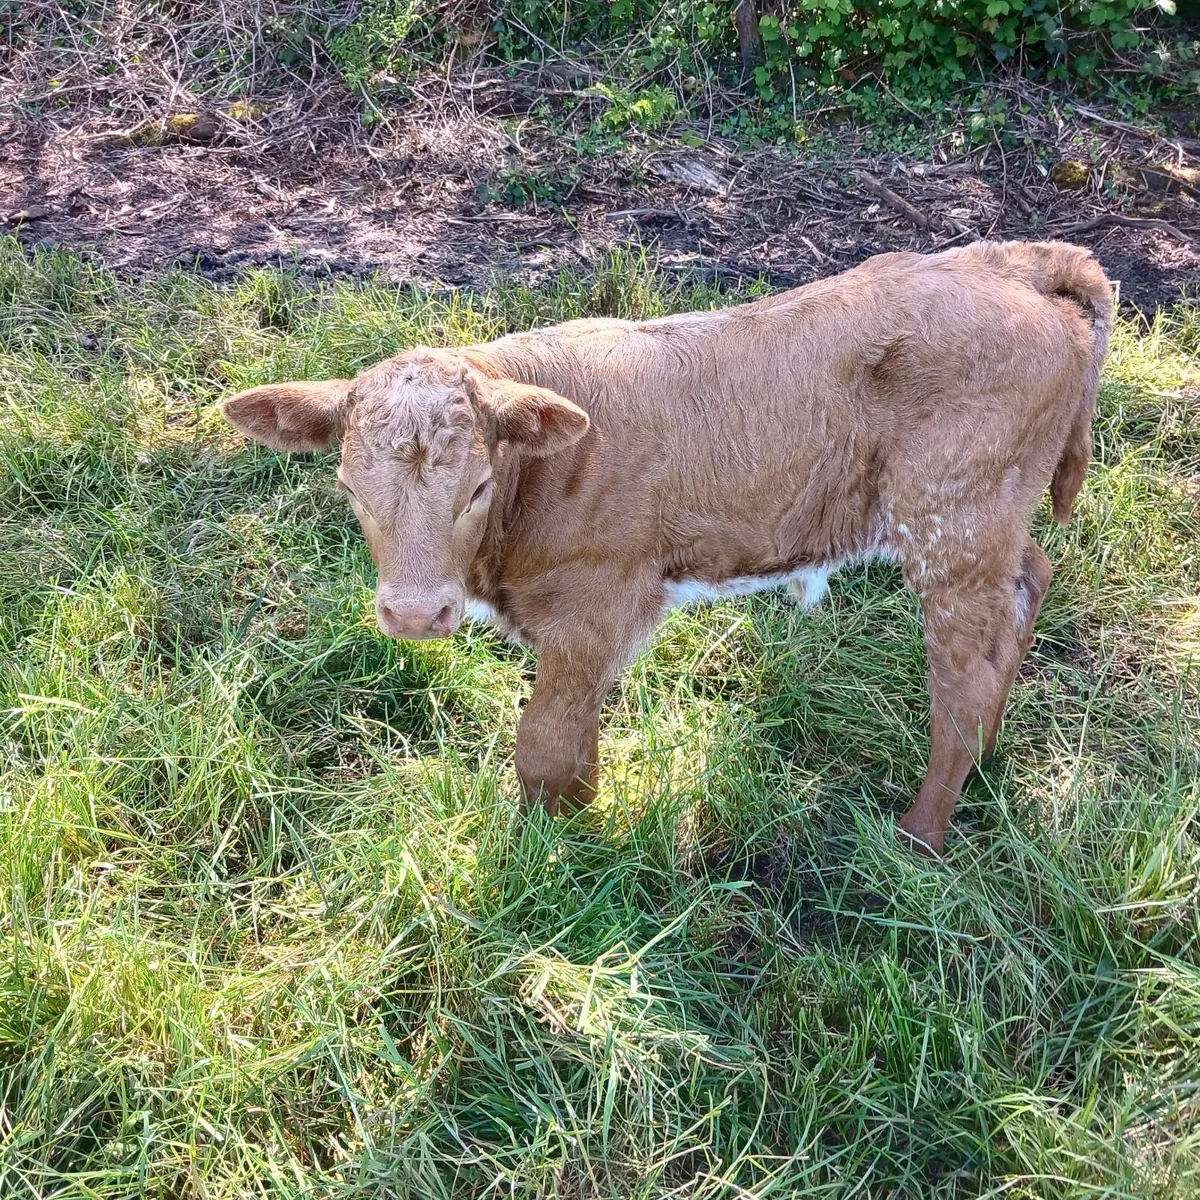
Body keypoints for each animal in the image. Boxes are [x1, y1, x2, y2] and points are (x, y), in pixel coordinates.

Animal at [221, 240, 1112, 855]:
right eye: (348, 488)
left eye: (475, 487)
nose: (413, 615)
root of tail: (1018, 261)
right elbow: (573, 740)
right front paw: (578, 829)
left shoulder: (599, 603)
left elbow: (542, 746)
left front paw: (544, 854)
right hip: (992, 522)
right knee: (1028, 585)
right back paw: (982, 764)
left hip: (951, 520)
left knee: (963, 679)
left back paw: (919, 836)